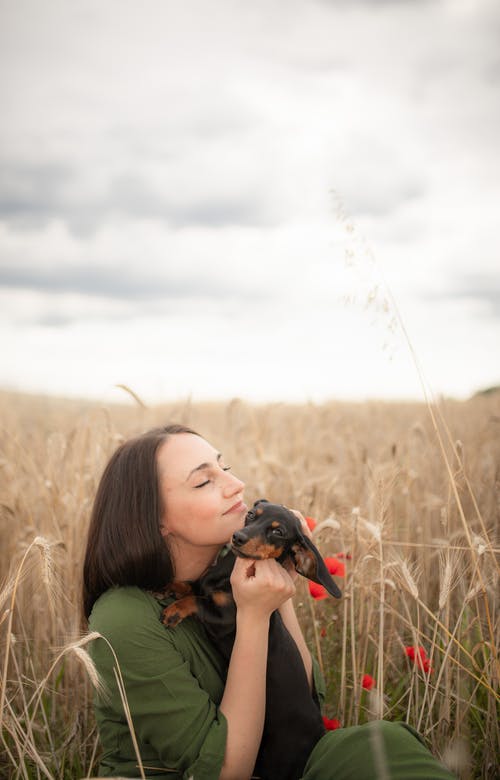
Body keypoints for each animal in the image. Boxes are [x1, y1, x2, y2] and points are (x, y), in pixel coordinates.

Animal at [158, 502, 342, 776]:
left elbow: (195, 601)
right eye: (251, 515)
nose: (238, 537)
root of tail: (319, 732)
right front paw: (168, 584)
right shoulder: (203, 587)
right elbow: (190, 585)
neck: (225, 573)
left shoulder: (224, 617)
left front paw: (175, 610)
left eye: (278, 532)